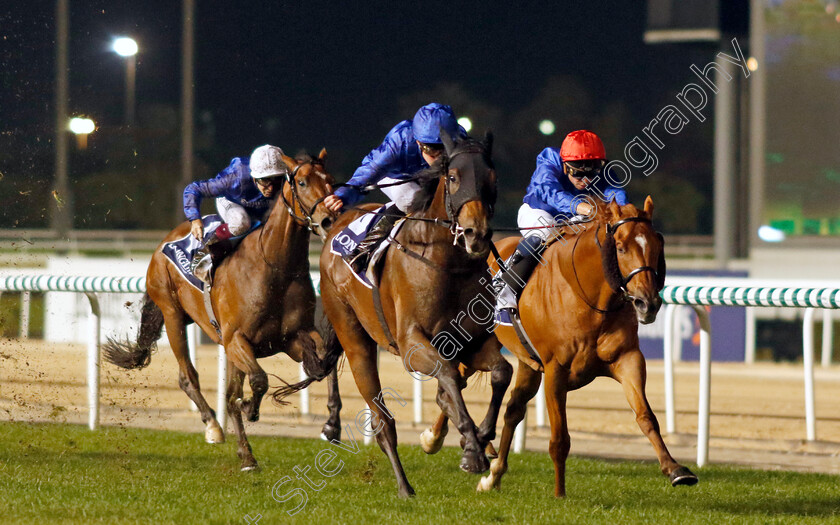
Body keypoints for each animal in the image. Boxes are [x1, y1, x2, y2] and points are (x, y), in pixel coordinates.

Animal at [104, 148, 342, 470]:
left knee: (228, 393)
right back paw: (214, 427)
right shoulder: (237, 339)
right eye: (302, 183)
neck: (276, 266)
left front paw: (331, 425)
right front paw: (251, 408)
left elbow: (324, 364)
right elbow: (258, 381)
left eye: (330, 180)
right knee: (188, 377)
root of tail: (165, 241)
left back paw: (246, 455)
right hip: (172, 315)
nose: (329, 219)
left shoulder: (292, 336)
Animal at [318, 131, 512, 496]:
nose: (476, 234)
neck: (448, 265)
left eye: (493, 178)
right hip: (355, 340)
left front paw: (479, 437)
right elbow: (447, 373)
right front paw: (473, 450)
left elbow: (500, 373)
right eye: (453, 177)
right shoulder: (411, 343)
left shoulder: (473, 340)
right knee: (383, 421)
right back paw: (404, 487)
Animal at [472, 195, 704, 496]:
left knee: (514, 408)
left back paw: (493, 474)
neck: (589, 297)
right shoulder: (555, 370)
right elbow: (560, 439)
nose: (647, 303)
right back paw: (448, 439)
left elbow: (645, 416)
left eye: (657, 245)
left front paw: (675, 469)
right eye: (621, 247)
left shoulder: (627, 358)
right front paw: (559, 494)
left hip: (527, 362)